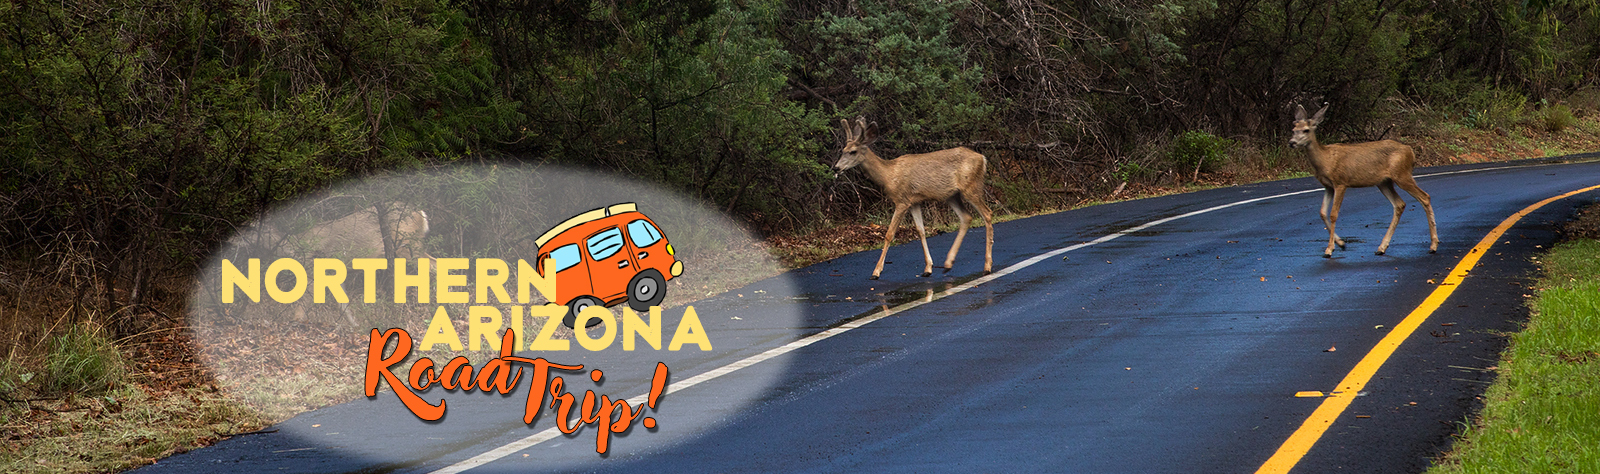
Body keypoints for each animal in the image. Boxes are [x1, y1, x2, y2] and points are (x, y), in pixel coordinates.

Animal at [838, 117, 985, 277]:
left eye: (853, 151)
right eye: (843, 150)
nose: (836, 167)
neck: (888, 175)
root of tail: (982, 158)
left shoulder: (901, 201)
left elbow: (889, 234)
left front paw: (876, 271)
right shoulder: (914, 201)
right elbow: (920, 231)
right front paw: (928, 268)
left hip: (970, 187)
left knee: (987, 214)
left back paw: (987, 266)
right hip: (953, 195)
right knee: (967, 217)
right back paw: (948, 263)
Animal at [1286, 104, 1440, 259]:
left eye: (1306, 130)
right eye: (1293, 129)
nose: (1292, 143)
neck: (1325, 160)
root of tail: (1411, 151)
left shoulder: (1341, 182)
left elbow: (1333, 214)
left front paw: (1329, 249)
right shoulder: (1328, 186)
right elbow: (1322, 213)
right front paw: (1341, 244)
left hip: (1402, 175)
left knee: (1424, 197)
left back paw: (1433, 246)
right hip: (1384, 182)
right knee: (1399, 204)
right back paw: (1381, 248)